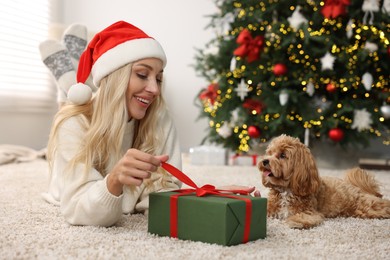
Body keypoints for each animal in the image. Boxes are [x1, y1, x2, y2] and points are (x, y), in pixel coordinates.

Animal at [258, 135, 390, 229]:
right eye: (269, 153)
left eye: (283, 155)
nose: (264, 161)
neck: (286, 189)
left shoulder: (310, 212)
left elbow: (302, 217)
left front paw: (294, 221)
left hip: (368, 206)